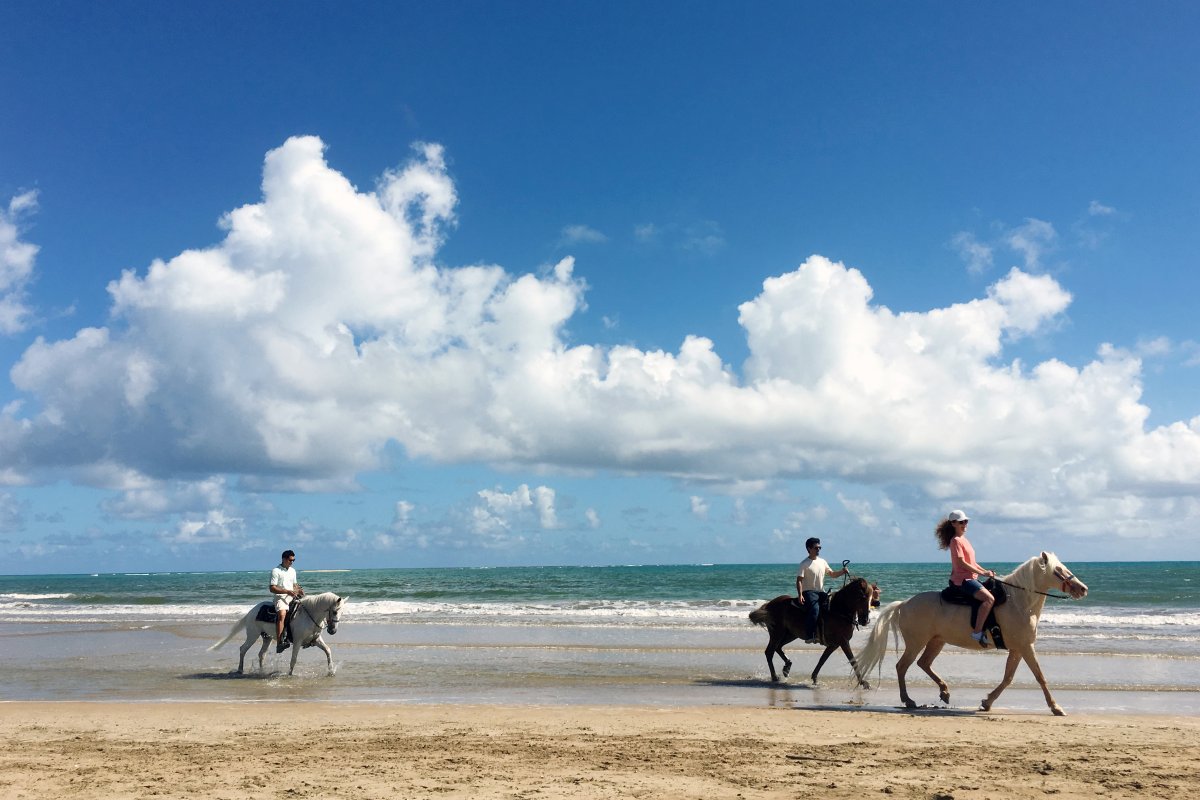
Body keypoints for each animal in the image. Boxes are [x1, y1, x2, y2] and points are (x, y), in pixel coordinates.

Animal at [207, 594, 343, 676]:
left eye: (341, 612)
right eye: (335, 612)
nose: (333, 631)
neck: (308, 616)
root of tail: (252, 611)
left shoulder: (317, 639)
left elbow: (328, 651)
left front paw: (331, 671)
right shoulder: (297, 641)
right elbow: (294, 659)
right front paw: (290, 674)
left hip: (266, 638)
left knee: (261, 654)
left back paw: (261, 671)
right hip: (252, 635)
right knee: (243, 649)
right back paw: (240, 670)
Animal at [854, 554, 1089, 714]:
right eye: (1058, 569)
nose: (1082, 588)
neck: (1019, 602)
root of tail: (904, 604)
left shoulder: (1017, 648)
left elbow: (1008, 677)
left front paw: (987, 702)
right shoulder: (1025, 647)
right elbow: (1040, 677)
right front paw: (1056, 707)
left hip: (937, 641)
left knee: (924, 663)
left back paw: (944, 692)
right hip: (916, 642)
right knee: (902, 666)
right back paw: (908, 700)